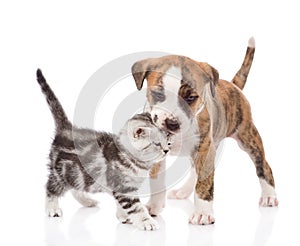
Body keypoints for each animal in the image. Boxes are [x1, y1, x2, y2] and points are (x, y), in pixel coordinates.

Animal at [36, 69, 170, 231]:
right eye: (157, 143)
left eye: (167, 140)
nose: (167, 150)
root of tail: (66, 129)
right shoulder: (124, 187)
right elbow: (136, 207)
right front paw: (146, 221)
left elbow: (121, 204)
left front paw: (123, 216)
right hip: (60, 172)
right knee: (51, 187)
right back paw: (52, 208)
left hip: (77, 173)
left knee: (76, 187)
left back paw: (87, 201)